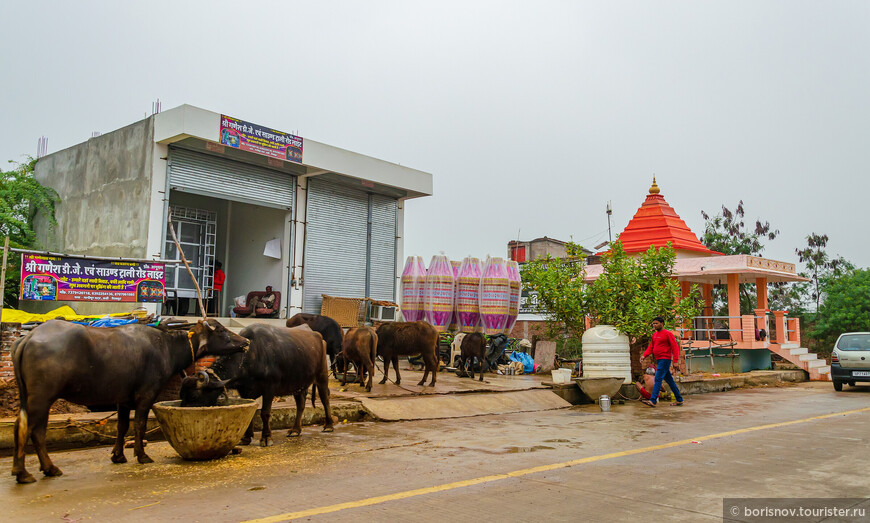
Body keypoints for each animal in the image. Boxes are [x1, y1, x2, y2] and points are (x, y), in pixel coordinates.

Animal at [11, 322, 249, 486]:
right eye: (221, 330)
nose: (245, 343)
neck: (167, 347)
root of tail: (28, 337)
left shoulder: (123, 399)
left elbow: (122, 426)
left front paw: (118, 456)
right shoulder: (146, 395)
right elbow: (139, 424)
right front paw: (141, 455)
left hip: (33, 399)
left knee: (32, 431)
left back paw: (45, 469)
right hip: (41, 398)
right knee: (27, 429)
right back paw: (25, 473)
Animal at [184, 324, 334, 446]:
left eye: (194, 397)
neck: (252, 355)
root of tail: (318, 335)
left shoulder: (269, 388)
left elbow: (265, 413)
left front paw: (266, 438)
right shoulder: (245, 390)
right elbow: (251, 411)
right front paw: (246, 438)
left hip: (322, 376)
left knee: (325, 399)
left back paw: (328, 425)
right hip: (298, 384)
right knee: (301, 404)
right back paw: (296, 429)